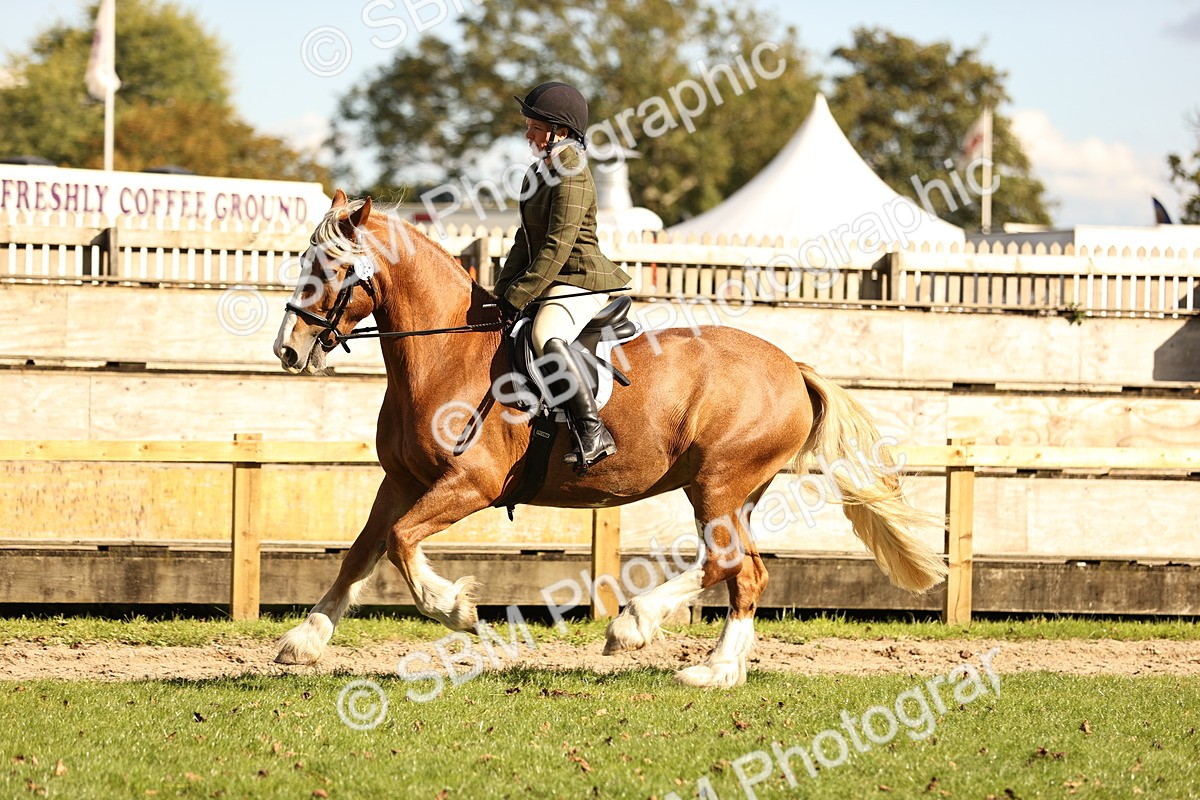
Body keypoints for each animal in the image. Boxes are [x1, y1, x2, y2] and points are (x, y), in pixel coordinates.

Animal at [271, 190, 946, 689]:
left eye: (333, 269)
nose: (287, 351)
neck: (445, 354)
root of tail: (792, 368)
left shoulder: (470, 484)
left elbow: (401, 541)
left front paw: (458, 610)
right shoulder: (402, 479)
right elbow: (363, 551)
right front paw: (304, 640)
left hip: (719, 484)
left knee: (734, 566)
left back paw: (659, 642)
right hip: (734, 492)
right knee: (735, 568)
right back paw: (696, 659)